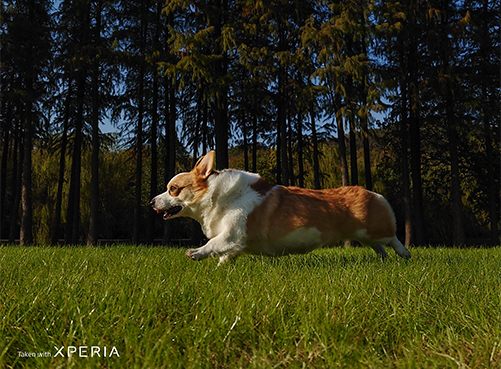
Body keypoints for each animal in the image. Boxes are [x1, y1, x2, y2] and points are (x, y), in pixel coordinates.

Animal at [149, 150, 410, 264]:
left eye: (173, 189)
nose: (151, 202)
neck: (215, 197)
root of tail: (372, 192)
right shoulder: (235, 242)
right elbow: (224, 253)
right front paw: (221, 266)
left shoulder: (233, 233)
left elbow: (213, 244)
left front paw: (195, 253)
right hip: (364, 235)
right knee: (379, 246)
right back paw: (383, 258)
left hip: (373, 230)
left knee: (393, 239)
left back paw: (404, 255)